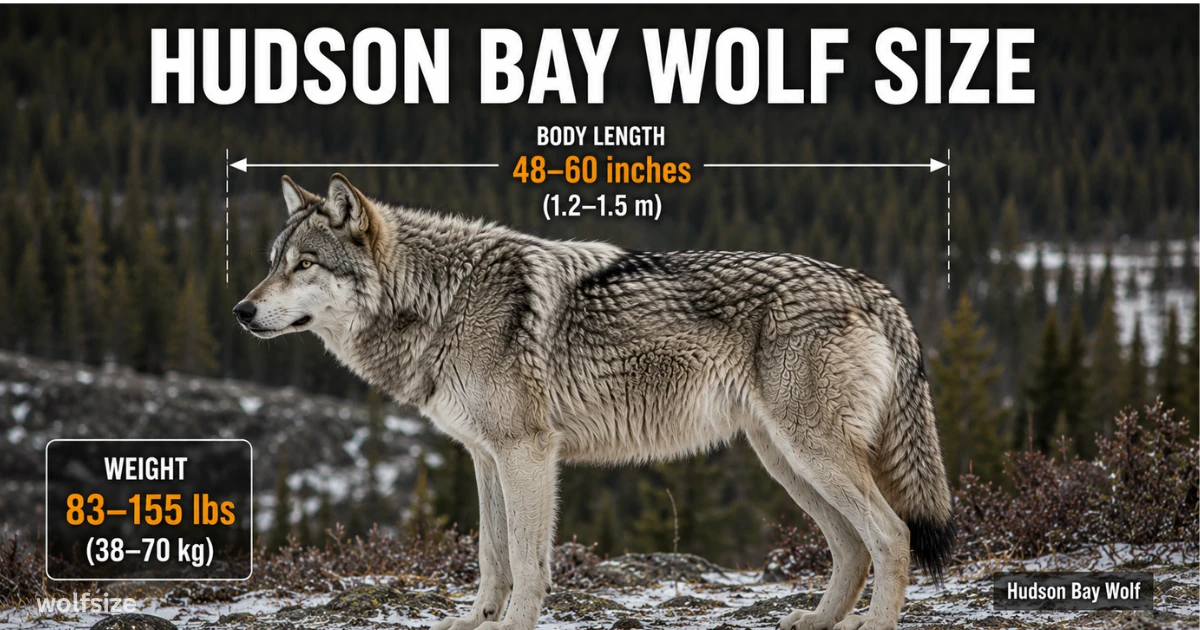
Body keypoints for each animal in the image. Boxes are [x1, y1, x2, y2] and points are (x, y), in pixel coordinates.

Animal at [235, 174, 955, 630]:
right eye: (271, 262)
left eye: (304, 264)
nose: (242, 310)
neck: (441, 300)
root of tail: (866, 284)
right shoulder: (485, 456)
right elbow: (491, 557)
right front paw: (475, 623)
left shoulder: (526, 452)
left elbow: (527, 561)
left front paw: (513, 628)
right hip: (786, 461)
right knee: (852, 547)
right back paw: (818, 620)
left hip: (810, 453)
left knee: (890, 535)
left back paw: (873, 626)